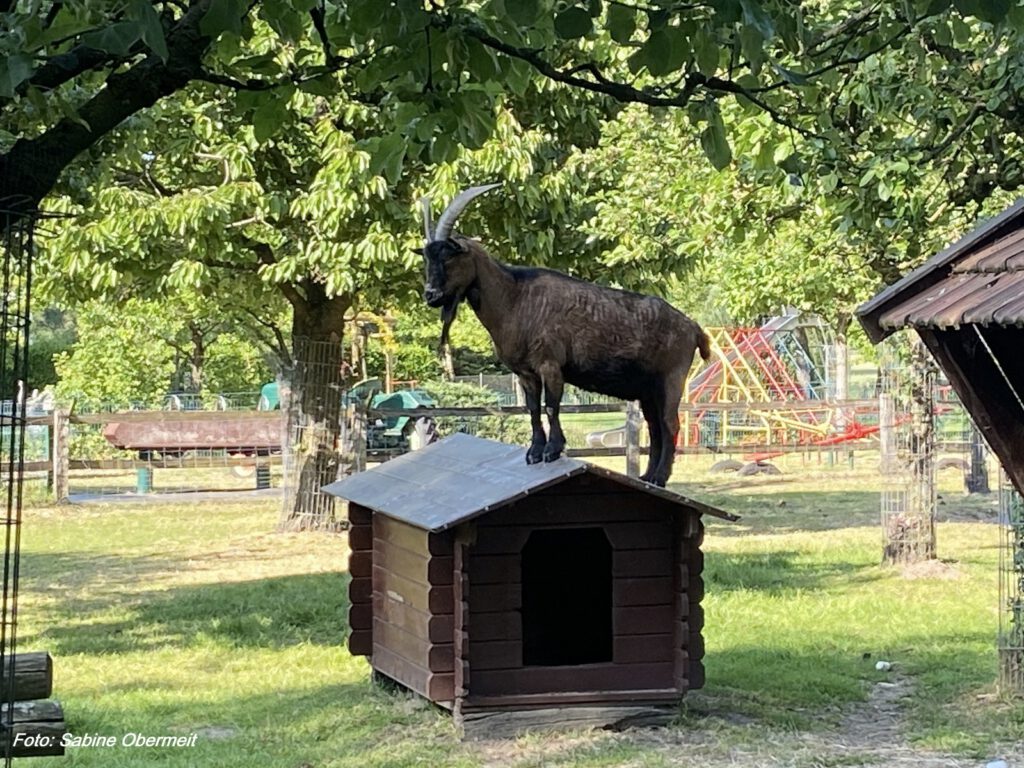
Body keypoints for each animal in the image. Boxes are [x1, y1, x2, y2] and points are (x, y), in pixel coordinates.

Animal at [411, 185, 708, 487]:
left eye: (449, 255)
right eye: (426, 257)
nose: (431, 295)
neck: (514, 298)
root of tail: (692, 327)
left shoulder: (550, 364)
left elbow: (552, 406)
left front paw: (552, 450)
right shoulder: (525, 373)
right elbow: (532, 409)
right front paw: (534, 452)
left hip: (671, 378)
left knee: (670, 424)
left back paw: (659, 476)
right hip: (648, 389)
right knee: (655, 425)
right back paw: (648, 477)